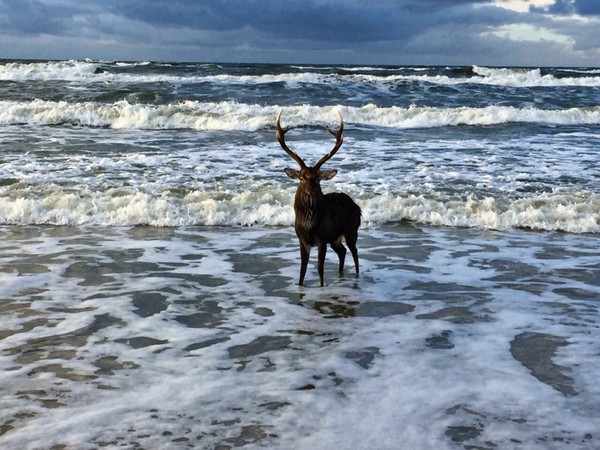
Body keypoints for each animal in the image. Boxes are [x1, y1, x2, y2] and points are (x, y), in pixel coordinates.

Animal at [276, 110, 360, 286]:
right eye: (301, 178)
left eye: (317, 178)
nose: (310, 190)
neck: (309, 225)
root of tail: (357, 207)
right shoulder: (302, 240)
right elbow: (302, 271)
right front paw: (300, 285)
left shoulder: (322, 239)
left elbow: (320, 270)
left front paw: (321, 287)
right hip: (335, 238)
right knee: (342, 252)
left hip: (351, 230)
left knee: (355, 253)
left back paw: (356, 276)